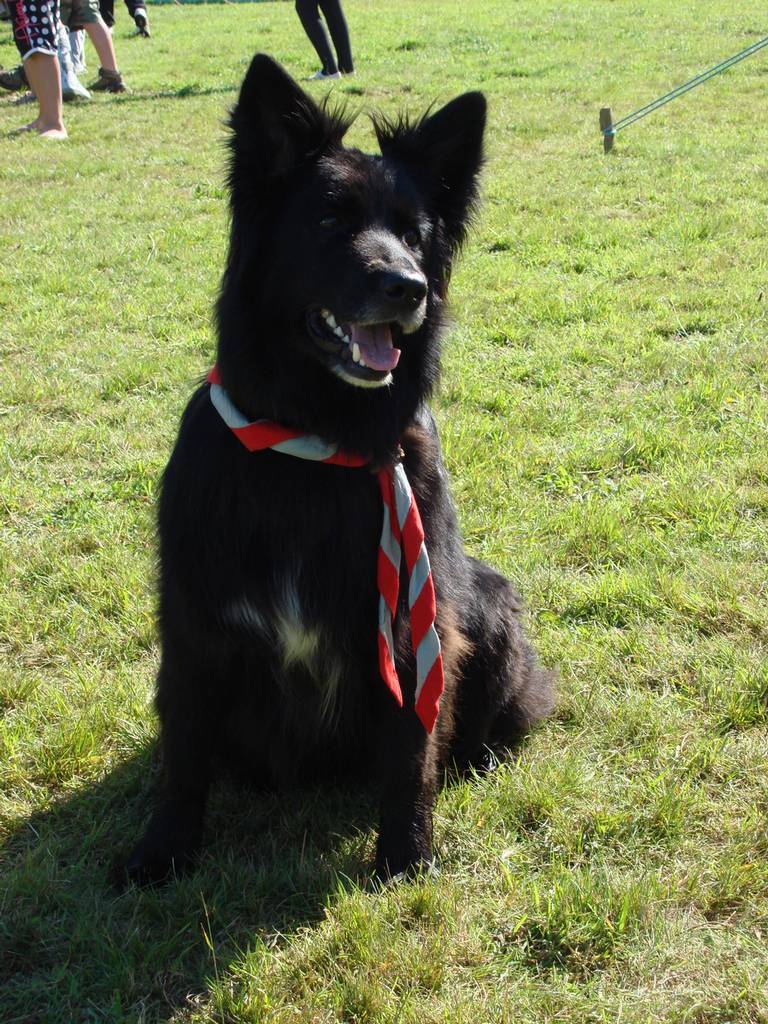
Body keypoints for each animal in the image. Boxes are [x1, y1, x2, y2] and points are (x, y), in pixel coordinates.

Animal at [129, 56, 557, 884]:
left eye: (416, 235)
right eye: (329, 221)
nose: (408, 288)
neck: (316, 441)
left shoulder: (414, 625)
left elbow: (411, 757)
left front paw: (406, 858)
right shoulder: (196, 625)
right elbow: (183, 758)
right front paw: (160, 853)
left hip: (490, 603)